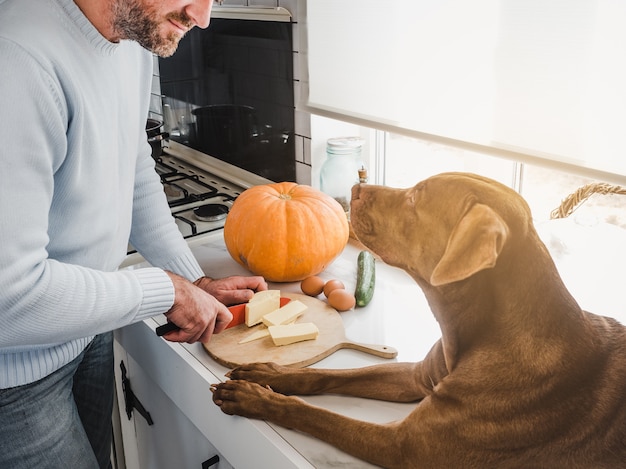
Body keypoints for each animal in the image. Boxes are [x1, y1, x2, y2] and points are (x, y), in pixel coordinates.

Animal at [211, 173, 624, 468]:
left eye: (414, 199)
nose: (355, 188)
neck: (478, 337)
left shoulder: (400, 444)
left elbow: (316, 415)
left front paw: (257, 399)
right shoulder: (415, 376)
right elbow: (327, 375)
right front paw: (270, 375)